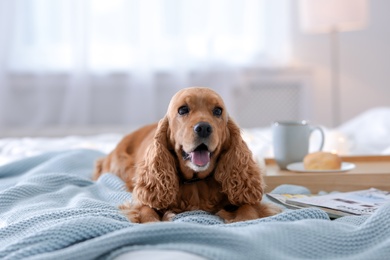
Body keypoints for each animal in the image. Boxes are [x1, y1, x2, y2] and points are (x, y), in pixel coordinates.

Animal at [93, 86, 278, 222]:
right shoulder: (143, 198)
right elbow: (147, 211)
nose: (203, 128)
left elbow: (249, 209)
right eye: (183, 110)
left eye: (218, 111)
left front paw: (242, 220)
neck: (195, 181)